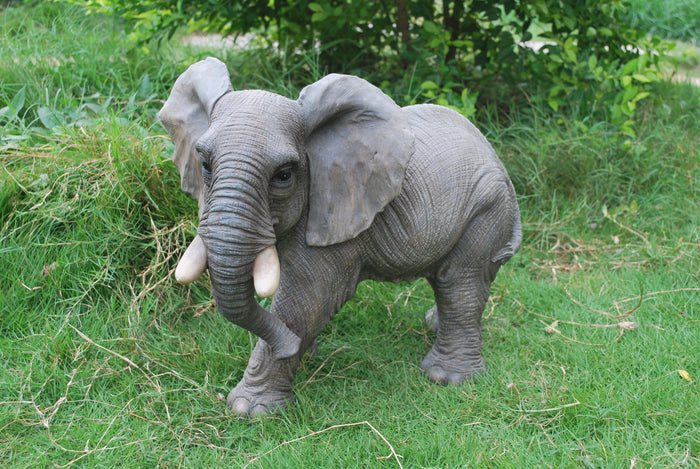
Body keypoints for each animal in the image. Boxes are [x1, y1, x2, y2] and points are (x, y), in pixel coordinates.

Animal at [159, 57, 521, 417]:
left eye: (284, 175)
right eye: (205, 164)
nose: (288, 345)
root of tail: (494, 154)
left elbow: (308, 300)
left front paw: (251, 409)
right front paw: (304, 352)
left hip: (487, 208)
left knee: (459, 281)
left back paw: (447, 378)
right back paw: (433, 326)